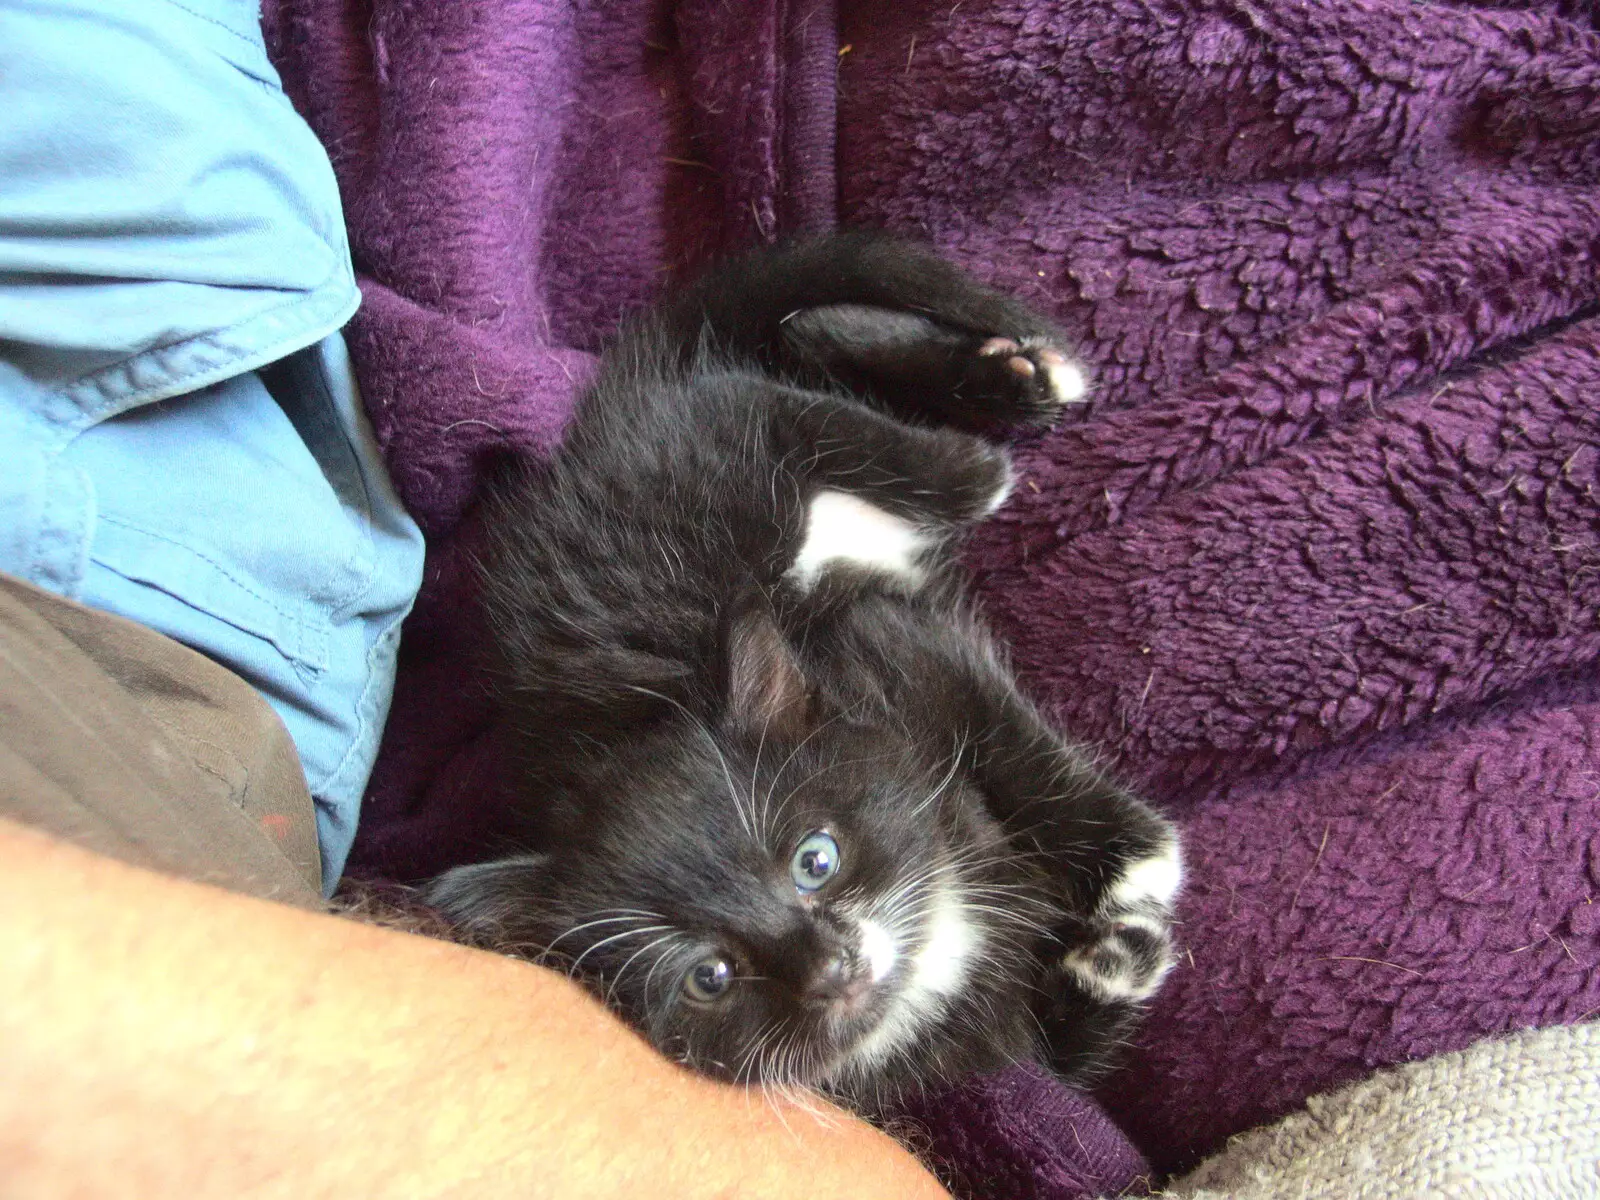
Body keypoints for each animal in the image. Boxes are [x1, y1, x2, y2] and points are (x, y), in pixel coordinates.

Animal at [432, 235, 1184, 1120]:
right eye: (710, 976)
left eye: (815, 861)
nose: (830, 969)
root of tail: (605, 421)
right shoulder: (993, 1037)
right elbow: (1065, 1062)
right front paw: (1118, 954)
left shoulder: (887, 641)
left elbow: (1023, 756)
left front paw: (1142, 867)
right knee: (791, 355)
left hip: (718, 464)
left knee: (772, 393)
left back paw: (988, 429)